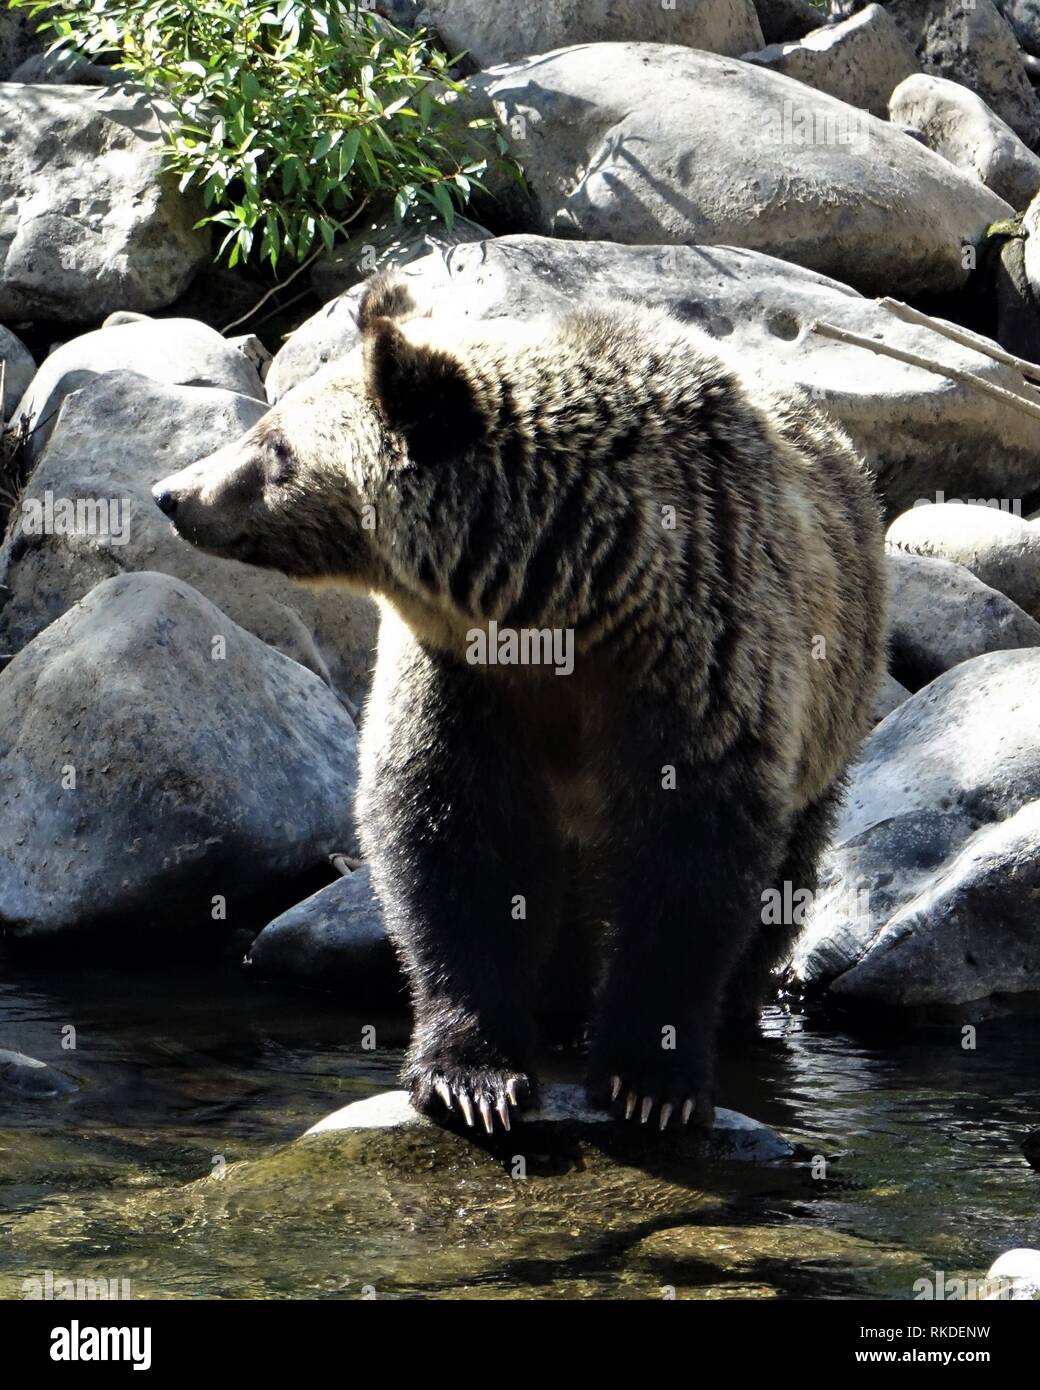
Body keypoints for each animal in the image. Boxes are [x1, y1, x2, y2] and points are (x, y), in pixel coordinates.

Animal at [154, 273, 884, 1139]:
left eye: (275, 446)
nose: (172, 493)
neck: (565, 604)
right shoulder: (464, 677)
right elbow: (448, 840)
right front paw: (471, 1076)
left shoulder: (696, 659)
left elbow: (691, 861)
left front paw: (652, 1080)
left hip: (834, 710)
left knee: (785, 876)